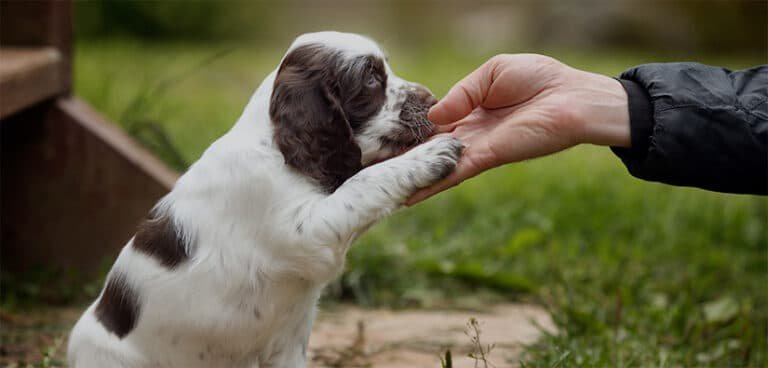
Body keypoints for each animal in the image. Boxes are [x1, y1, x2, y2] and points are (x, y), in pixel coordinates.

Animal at [69, 32, 462, 368]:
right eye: (370, 79)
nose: (433, 101)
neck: (276, 148)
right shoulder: (305, 230)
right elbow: (362, 183)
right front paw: (430, 156)